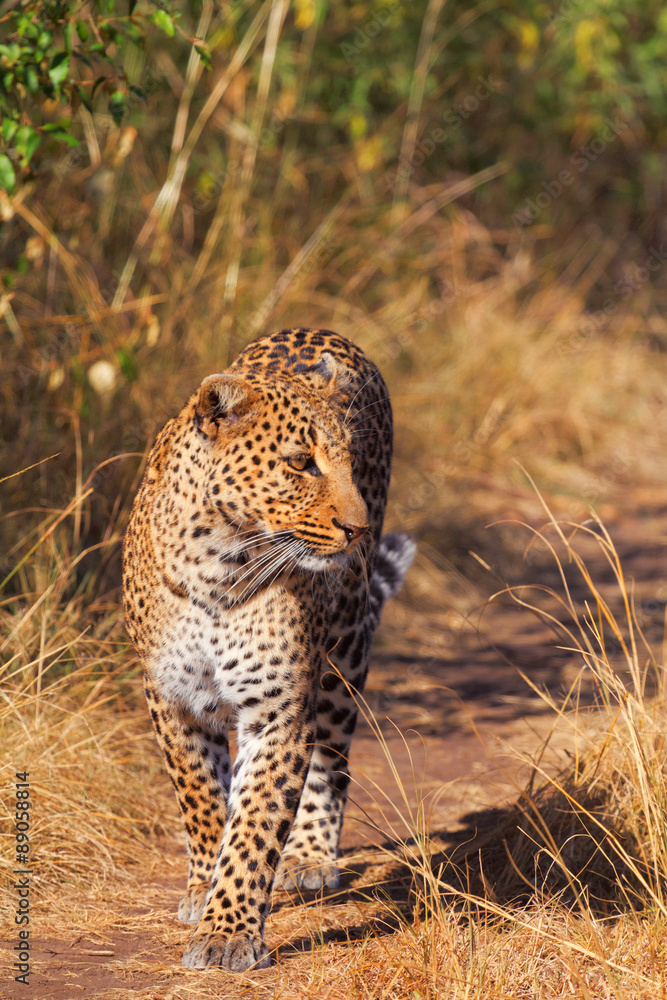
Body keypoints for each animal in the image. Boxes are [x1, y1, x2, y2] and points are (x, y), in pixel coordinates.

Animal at [122, 327, 415, 972]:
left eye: (349, 464)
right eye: (301, 463)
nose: (358, 530)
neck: (220, 566)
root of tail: (324, 329)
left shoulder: (278, 710)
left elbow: (256, 823)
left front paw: (229, 932)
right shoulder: (171, 700)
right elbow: (203, 800)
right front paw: (204, 890)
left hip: (344, 658)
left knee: (331, 761)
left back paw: (308, 858)